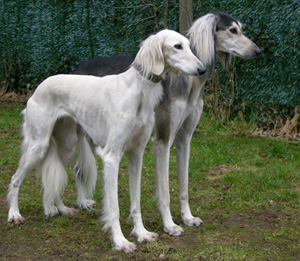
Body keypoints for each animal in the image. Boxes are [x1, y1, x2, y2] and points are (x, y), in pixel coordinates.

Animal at [7, 29, 205, 252]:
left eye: (189, 45)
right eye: (177, 46)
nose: (202, 69)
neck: (139, 91)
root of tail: (40, 86)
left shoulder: (136, 155)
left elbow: (136, 202)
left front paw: (141, 233)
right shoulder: (111, 156)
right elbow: (114, 208)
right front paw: (121, 241)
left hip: (67, 146)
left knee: (55, 174)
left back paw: (60, 209)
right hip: (38, 145)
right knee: (15, 178)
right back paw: (14, 214)